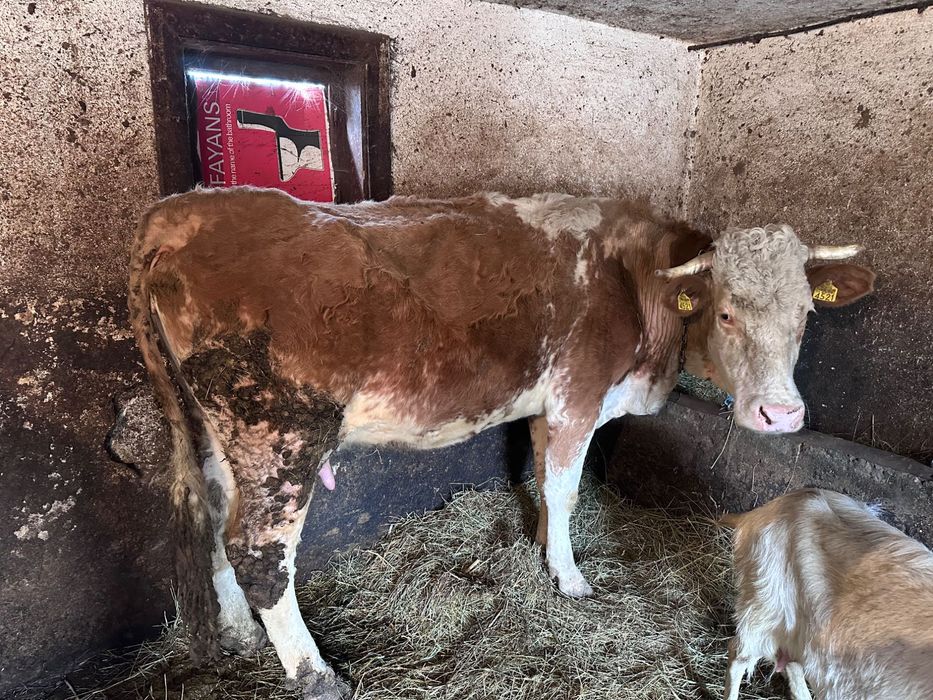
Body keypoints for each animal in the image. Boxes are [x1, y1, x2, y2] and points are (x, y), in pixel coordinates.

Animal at [128, 186, 874, 698]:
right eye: (724, 311)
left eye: (805, 315)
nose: (780, 414)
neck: (634, 281)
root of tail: (179, 210)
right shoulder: (578, 393)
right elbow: (567, 488)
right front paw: (570, 578)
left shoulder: (548, 405)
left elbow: (544, 479)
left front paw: (543, 551)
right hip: (278, 430)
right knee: (259, 551)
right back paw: (317, 677)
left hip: (215, 432)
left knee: (215, 526)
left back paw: (235, 632)